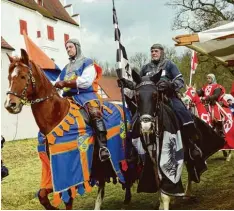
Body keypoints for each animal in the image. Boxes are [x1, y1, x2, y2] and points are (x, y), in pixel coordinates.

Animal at [4, 49, 134, 209]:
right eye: (9, 77)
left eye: (23, 76)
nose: (10, 105)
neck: (56, 115)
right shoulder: (54, 172)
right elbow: (42, 195)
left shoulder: (69, 173)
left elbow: (68, 201)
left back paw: (127, 196)